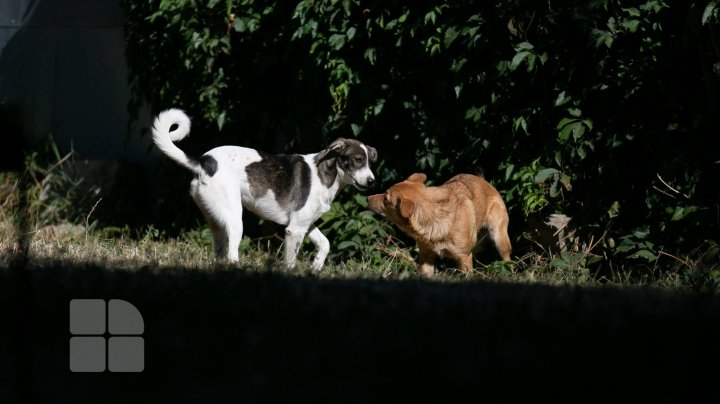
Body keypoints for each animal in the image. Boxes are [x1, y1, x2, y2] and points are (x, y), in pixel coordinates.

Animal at [152, 109, 376, 270]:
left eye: (370, 162)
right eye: (357, 160)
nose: (372, 181)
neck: (325, 173)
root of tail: (203, 162)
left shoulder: (305, 223)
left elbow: (325, 243)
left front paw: (316, 265)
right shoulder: (295, 229)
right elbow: (291, 262)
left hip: (216, 221)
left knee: (220, 254)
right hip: (234, 219)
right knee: (232, 254)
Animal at [366, 172, 512, 276]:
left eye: (386, 198)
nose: (367, 198)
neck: (435, 218)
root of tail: (484, 181)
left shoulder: (463, 258)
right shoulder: (426, 257)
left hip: (499, 240)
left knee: (508, 261)